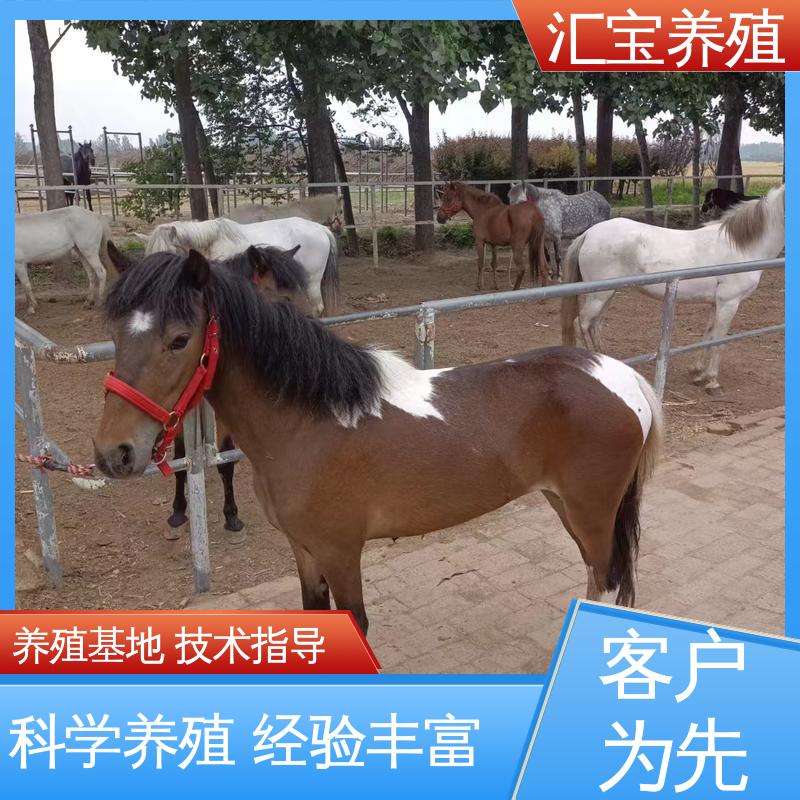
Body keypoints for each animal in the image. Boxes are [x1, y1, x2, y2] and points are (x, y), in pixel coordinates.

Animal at [105, 242, 311, 537]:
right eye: (285, 300)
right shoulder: (177, 416)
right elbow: (181, 461)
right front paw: (178, 510)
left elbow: (225, 462)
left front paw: (232, 515)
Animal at [561, 185, 785, 394]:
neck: (741, 248)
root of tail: (588, 234)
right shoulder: (729, 303)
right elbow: (719, 340)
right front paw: (712, 381)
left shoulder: (716, 303)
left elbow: (708, 335)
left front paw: (698, 374)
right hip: (599, 295)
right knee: (580, 324)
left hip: (608, 293)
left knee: (594, 325)